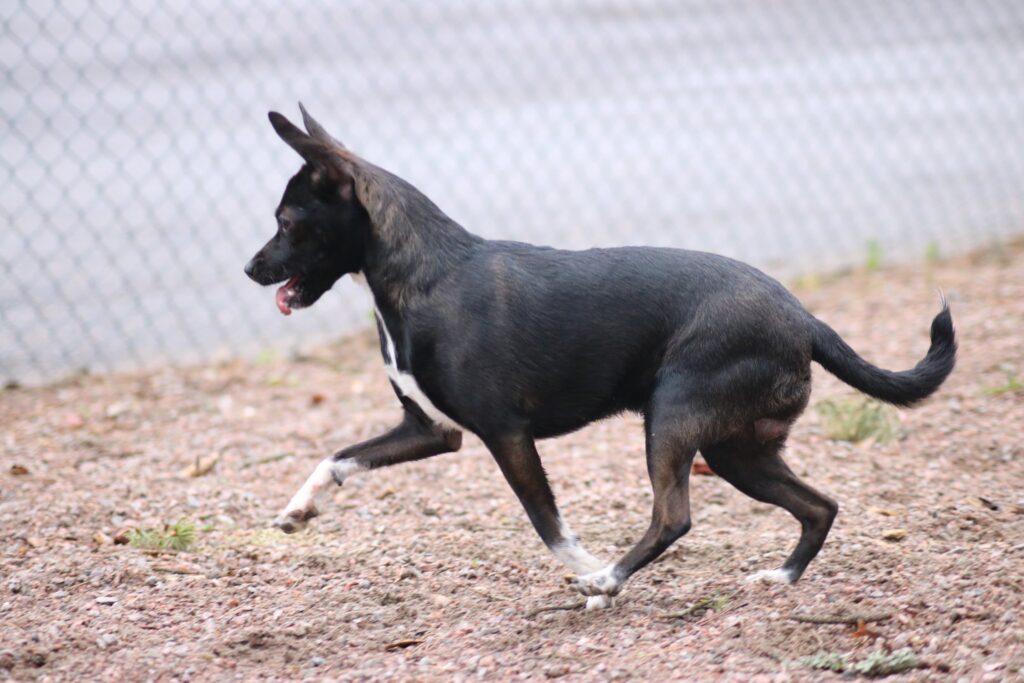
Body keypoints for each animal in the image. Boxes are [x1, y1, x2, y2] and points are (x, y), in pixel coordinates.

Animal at [243, 105, 954, 610]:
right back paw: (781, 578)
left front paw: (588, 570)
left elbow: (548, 524)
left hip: (673, 421)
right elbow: (336, 458)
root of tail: (803, 317)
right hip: (736, 449)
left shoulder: (507, 435)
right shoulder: (433, 431)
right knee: (818, 506)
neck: (422, 277)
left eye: (286, 222)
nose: (249, 269)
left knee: (673, 517)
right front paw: (300, 509)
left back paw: (611, 579)